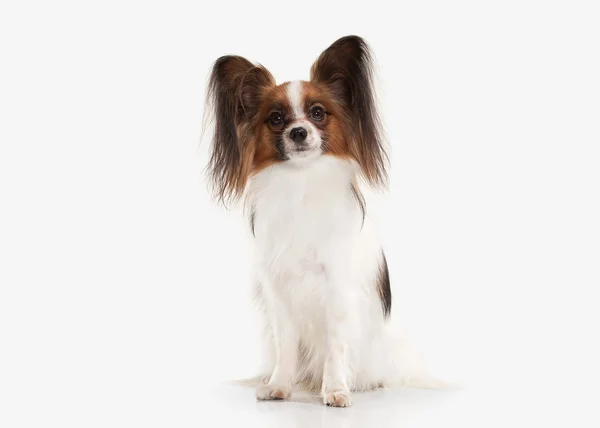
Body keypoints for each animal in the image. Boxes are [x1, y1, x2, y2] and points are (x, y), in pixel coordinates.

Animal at [204, 35, 438, 406]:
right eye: (276, 118)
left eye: (317, 113)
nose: (299, 132)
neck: (302, 181)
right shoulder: (279, 292)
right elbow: (286, 346)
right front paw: (279, 386)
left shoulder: (337, 287)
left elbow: (335, 346)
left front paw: (336, 390)